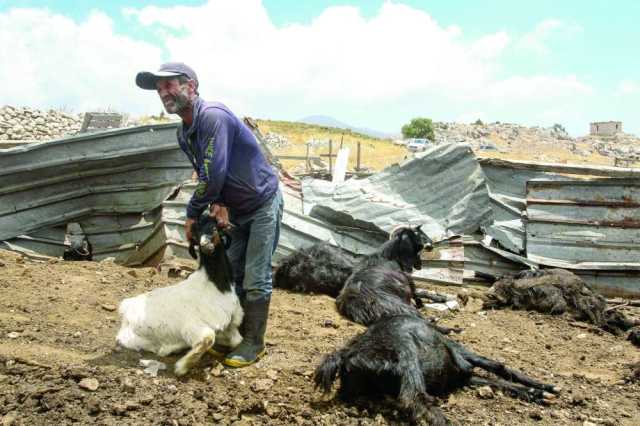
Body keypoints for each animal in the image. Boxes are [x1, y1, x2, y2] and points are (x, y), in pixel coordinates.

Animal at [116, 216, 244, 376]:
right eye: (195, 236)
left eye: (214, 228)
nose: (205, 245)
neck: (215, 285)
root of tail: (126, 308)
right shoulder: (193, 326)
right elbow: (208, 339)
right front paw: (182, 367)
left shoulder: (230, 324)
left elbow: (237, 340)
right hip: (133, 339)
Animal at [316, 314, 560, 424]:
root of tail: (348, 357)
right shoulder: (464, 358)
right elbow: (499, 366)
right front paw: (545, 388)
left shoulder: (464, 377)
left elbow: (497, 379)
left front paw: (540, 392)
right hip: (408, 357)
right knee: (415, 399)